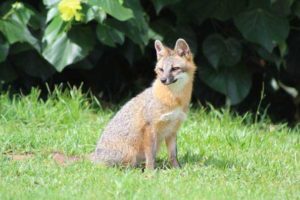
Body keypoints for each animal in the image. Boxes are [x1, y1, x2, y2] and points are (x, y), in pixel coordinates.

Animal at [91, 38, 197, 169]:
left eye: (174, 68)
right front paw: (150, 171)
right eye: (161, 70)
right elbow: (150, 155)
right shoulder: (150, 127)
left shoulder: (172, 130)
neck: (174, 99)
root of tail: (93, 156)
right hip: (130, 157)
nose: (163, 80)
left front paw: (177, 169)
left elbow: (173, 155)